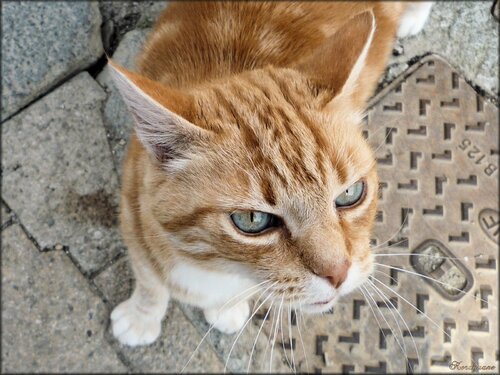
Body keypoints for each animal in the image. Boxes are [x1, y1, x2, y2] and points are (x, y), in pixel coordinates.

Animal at [107, 1, 432, 348]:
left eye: (349, 194)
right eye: (252, 220)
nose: (338, 273)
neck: (214, 265)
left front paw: (225, 309)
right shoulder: (133, 218)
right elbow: (149, 283)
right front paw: (141, 318)